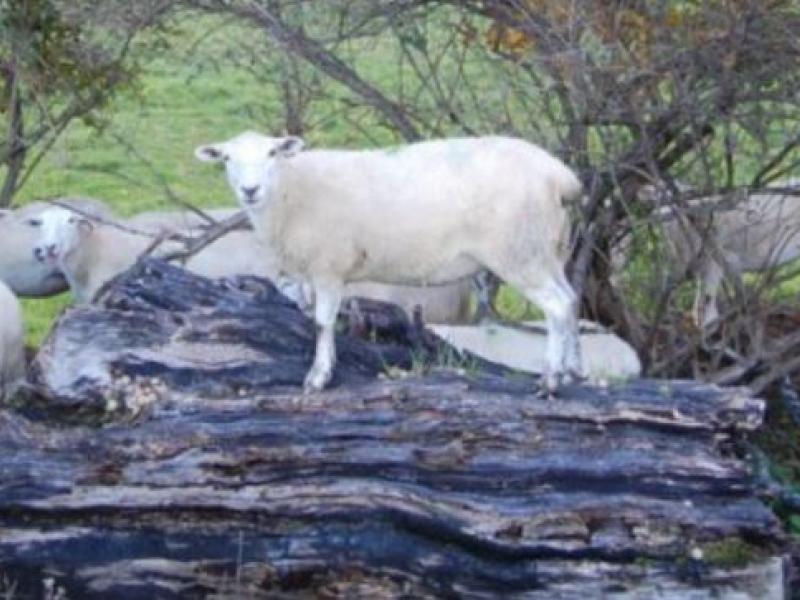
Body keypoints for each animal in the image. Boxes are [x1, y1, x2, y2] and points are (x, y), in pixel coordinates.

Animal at [195, 131, 583, 391]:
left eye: (273, 152)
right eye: (226, 158)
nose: (250, 190)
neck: (291, 190)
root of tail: (560, 176)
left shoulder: (328, 265)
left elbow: (322, 322)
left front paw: (318, 376)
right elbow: (320, 321)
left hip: (519, 251)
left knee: (557, 305)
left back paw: (551, 378)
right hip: (550, 250)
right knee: (572, 300)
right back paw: (574, 371)